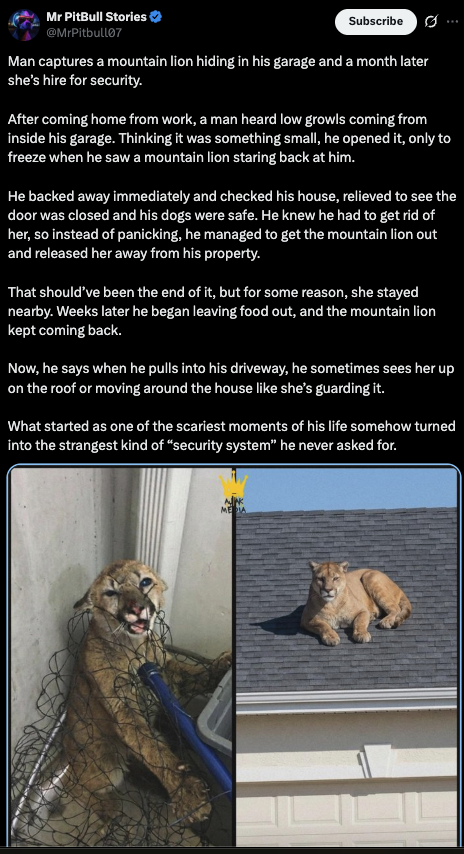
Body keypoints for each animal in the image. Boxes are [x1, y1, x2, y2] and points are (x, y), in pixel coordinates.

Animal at [59, 559, 231, 836]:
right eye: (111, 592)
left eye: (145, 582)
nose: (136, 608)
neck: (135, 647)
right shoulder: (124, 709)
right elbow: (152, 749)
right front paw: (187, 794)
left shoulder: (167, 674)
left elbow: (195, 673)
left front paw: (224, 663)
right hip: (106, 765)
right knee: (74, 785)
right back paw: (108, 810)